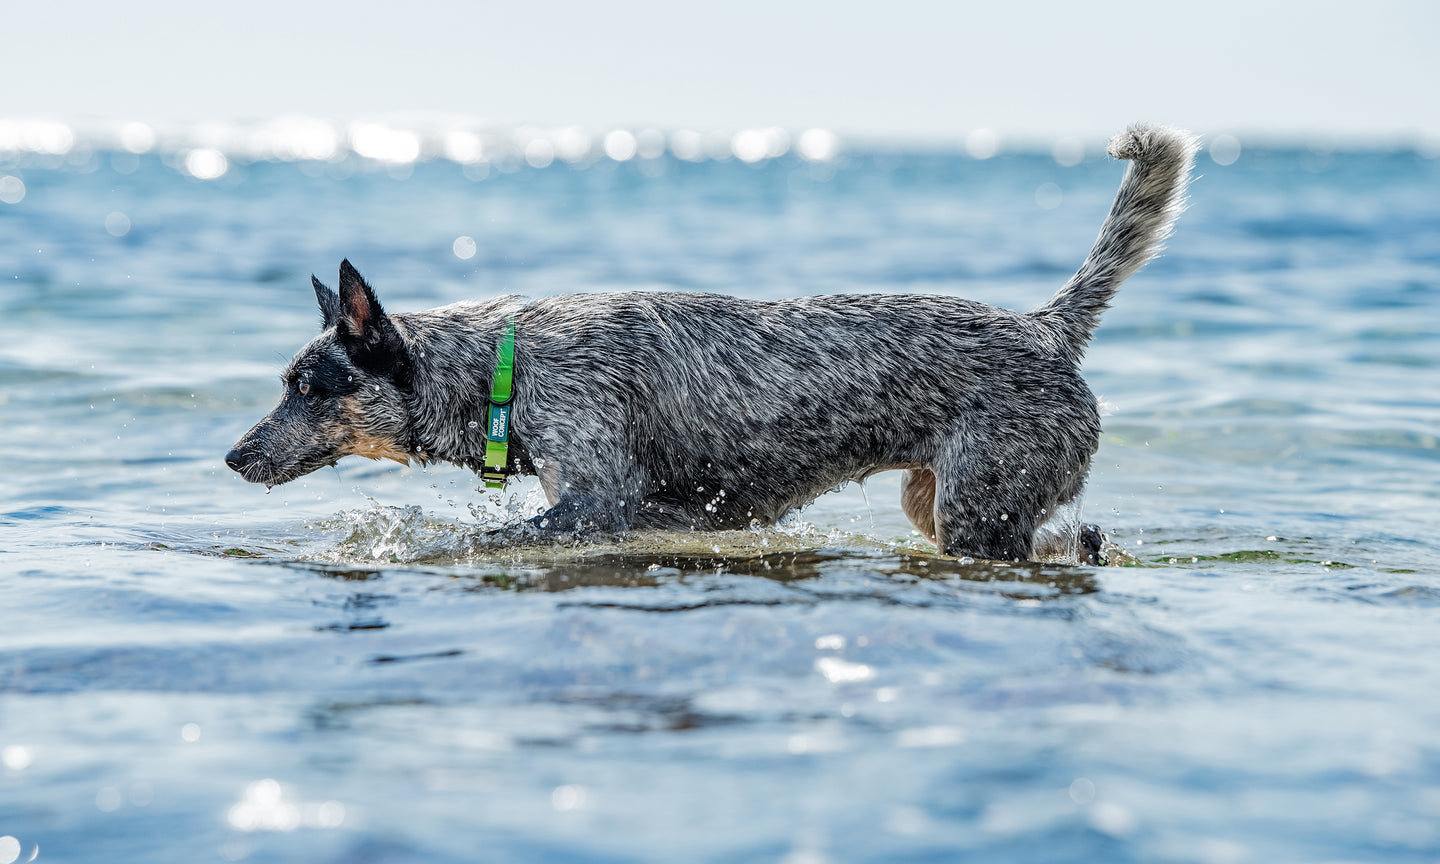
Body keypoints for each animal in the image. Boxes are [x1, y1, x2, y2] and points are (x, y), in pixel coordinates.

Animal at [224, 124, 1192, 564]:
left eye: (307, 387)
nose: (231, 456)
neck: (505, 367)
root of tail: (1046, 326)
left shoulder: (594, 503)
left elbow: (485, 538)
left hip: (975, 511)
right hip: (943, 504)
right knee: (1075, 537)